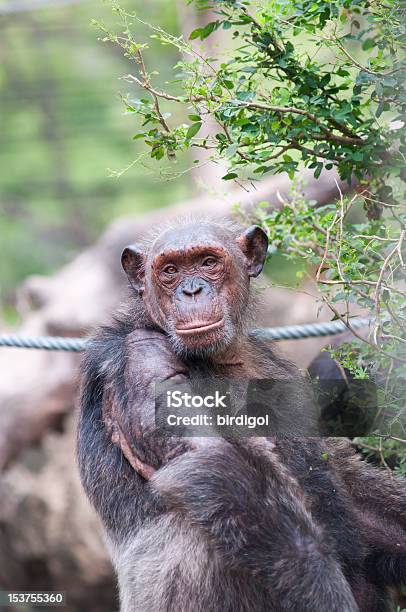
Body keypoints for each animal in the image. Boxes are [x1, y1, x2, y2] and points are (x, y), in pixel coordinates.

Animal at [77, 220, 406, 612]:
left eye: (208, 262)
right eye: (170, 270)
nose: (191, 290)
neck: (221, 357)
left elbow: (342, 479)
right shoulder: (142, 356)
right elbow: (214, 459)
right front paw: (326, 595)